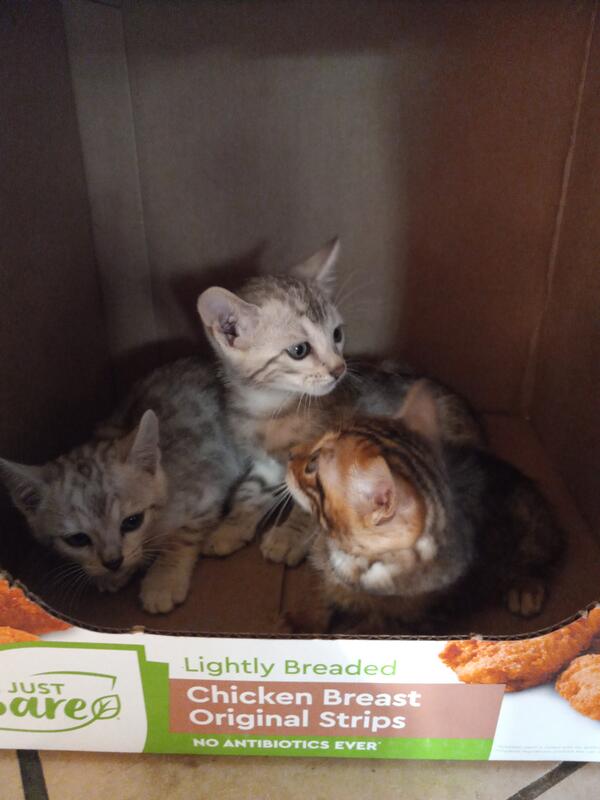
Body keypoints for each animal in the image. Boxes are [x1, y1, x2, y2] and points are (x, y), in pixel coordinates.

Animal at [0, 358, 243, 613]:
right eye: (77, 539)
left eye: (132, 521)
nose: (113, 562)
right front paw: (111, 576)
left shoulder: (208, 487)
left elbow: (180, 536)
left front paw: (163, 581)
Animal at [197, 240, 486, 567]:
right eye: (299, 350)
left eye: (337, 334)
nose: (339, 369)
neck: (271, 407)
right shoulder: (265, 462)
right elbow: (249, 492)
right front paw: (229, 528)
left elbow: (314, 505)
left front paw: (288, 537)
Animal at [285, 380, 564, 634]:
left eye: (312, 465)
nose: (290, 454)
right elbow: (317, 598)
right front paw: (300, 623)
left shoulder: (409, 621)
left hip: (530, 519)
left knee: (538, 556)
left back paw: (525, 586)